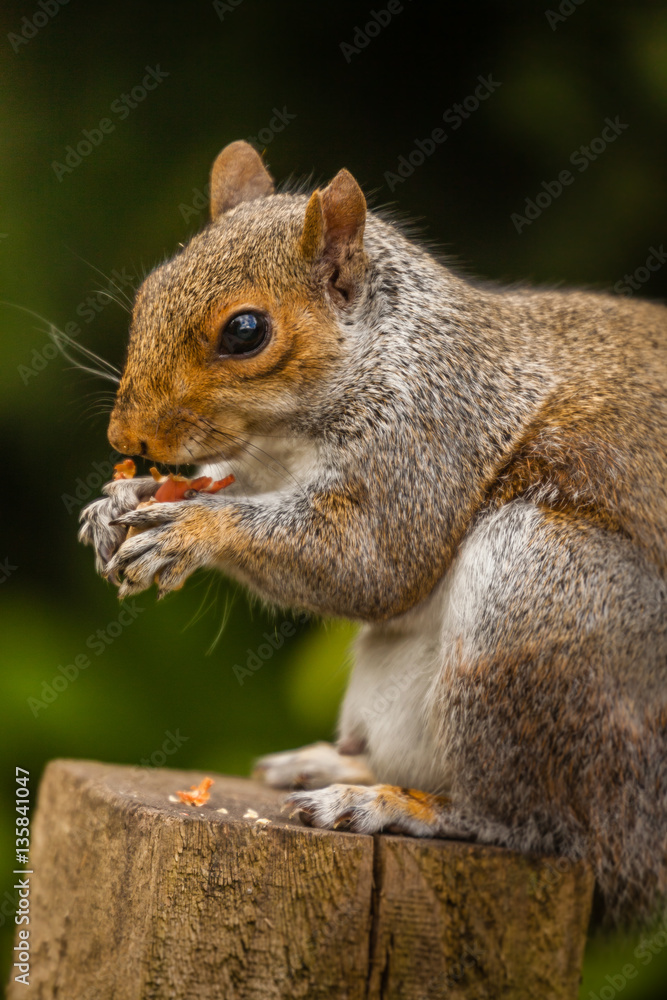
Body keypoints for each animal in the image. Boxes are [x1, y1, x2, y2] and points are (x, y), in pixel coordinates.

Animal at [79, 139, 667, 926]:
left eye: (245, 331)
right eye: (148, 293)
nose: (126, 437)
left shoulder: (427, 441)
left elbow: (371, 565)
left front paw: (191, 528)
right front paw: (120, 500)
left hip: (541, 604)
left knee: (539, 825)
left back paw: (394, 805)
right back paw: (333, 762)